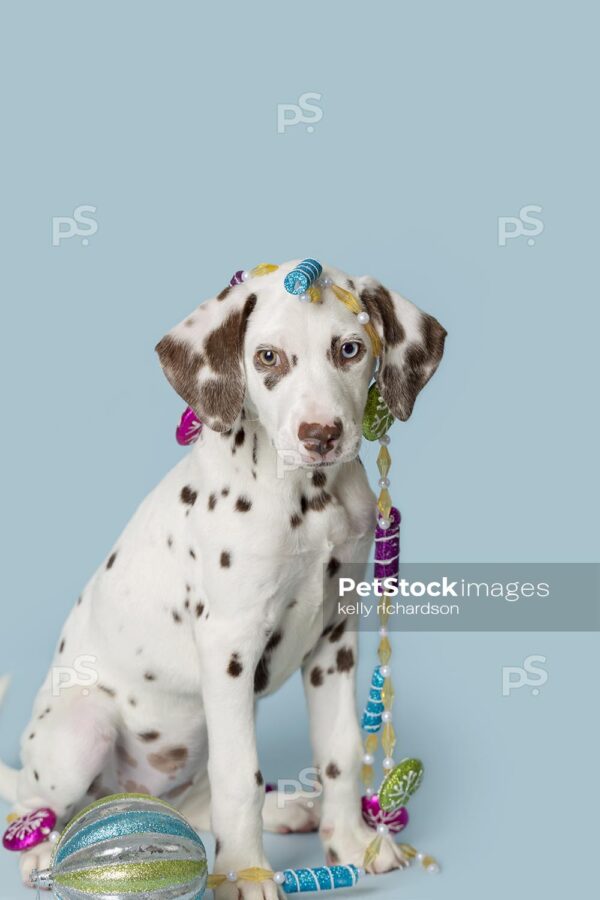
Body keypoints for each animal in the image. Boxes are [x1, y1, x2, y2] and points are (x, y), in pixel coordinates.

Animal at [0, 258, 440, 892]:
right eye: (268, 357)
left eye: (350, 349)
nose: (321, 435)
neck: (308, 498)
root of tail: (131, 795)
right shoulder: (229, 645)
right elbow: (240, 777)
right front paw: (243, 873)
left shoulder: (335, 638)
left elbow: (338, 750)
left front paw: (353, 843)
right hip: (83, 731)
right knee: (35, 804)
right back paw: (43, 847)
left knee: (195, 801)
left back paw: (285, 807)